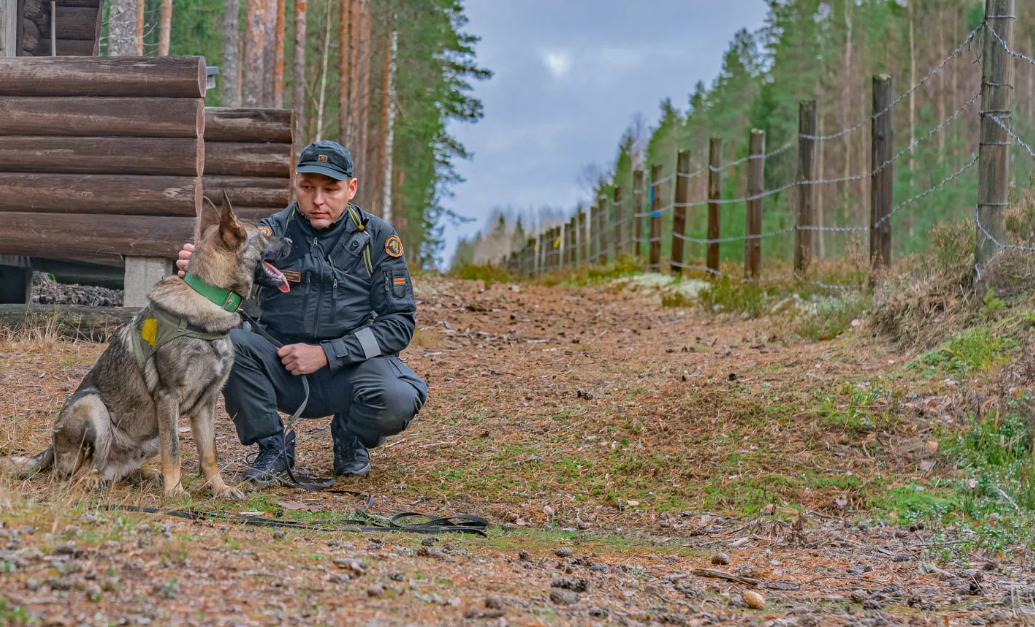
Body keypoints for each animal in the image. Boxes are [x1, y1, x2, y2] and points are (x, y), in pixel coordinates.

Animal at [7, 196, 291, 500]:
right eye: (264, 234)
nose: (290, 240)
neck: (208, 299)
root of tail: (52, 449)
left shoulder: (206, 404)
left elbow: (209, 452)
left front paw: (219, 487)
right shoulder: (168, 398)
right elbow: (174, 450)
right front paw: (175, 490)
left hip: (148, 440)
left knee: (116, 472)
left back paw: (148, 475)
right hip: (93, 407)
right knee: (82, 472)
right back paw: (94, 481)